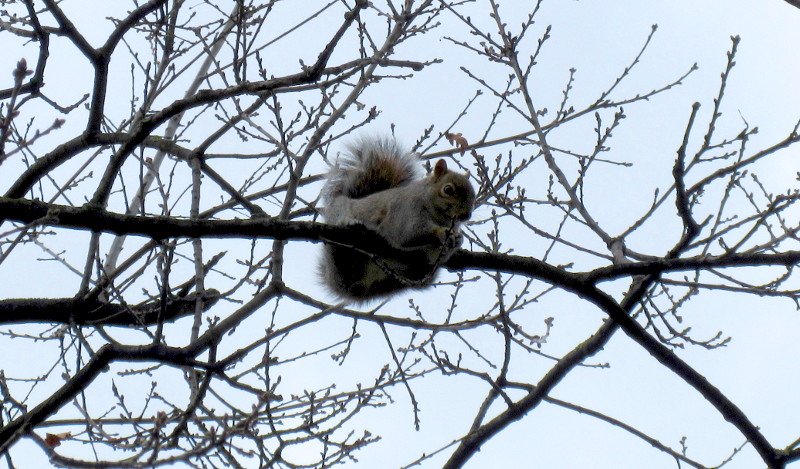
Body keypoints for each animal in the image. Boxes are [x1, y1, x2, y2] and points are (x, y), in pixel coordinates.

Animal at [320, 137, 476, 302]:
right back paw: (350, 223)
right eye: (447, 189)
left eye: (474, 193)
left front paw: (457, 240)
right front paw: (442, 232)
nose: (466, 215)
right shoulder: (405, 209)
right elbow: (407, 232)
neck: (438, 217)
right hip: (338, 216)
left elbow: (433, 257)